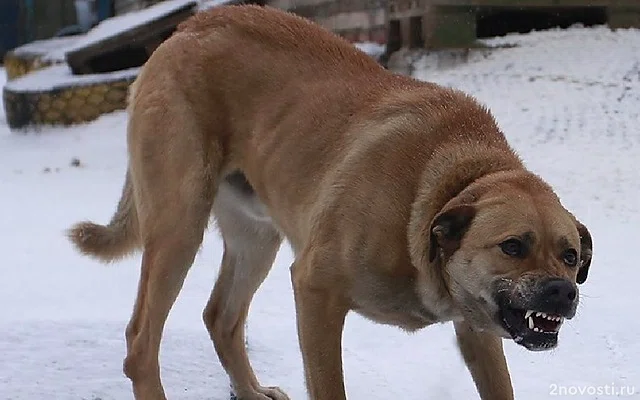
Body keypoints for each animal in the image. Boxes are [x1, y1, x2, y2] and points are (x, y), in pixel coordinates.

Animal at [67, 3, 592, 400]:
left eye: (571, 257)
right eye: (512, 246)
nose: (562, 292)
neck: (440, 189)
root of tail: (187, 27)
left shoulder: (477, 330)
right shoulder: (315, 290)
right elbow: (329, 386)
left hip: (255, 237)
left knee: (220, 318)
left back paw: (250, 391)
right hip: (180, 223)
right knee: (140, 343)